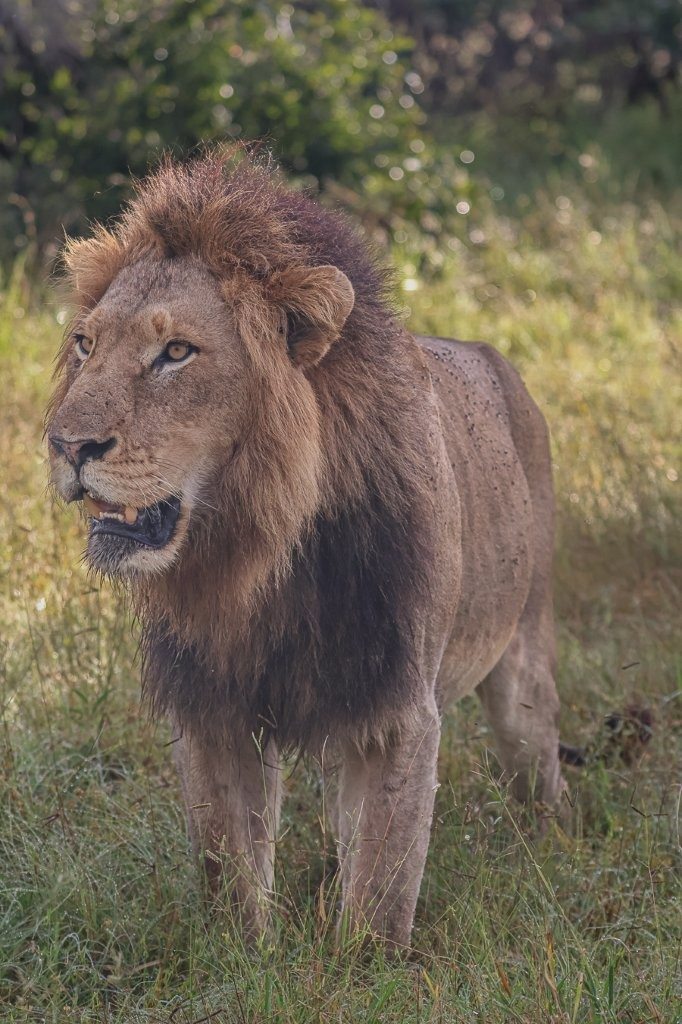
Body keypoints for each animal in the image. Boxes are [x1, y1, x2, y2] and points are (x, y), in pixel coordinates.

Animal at [47, 149, 567, 949]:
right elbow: (228, 864)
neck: (254, 556)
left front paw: (360, 964)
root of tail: (491, 356)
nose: (67, 445)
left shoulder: (393, 706)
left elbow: (380, 888)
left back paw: (555, 849)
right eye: (85, 344)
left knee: (536, 763)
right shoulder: (212, 707)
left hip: (523, 661)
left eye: (176, 352)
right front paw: (242, 957)